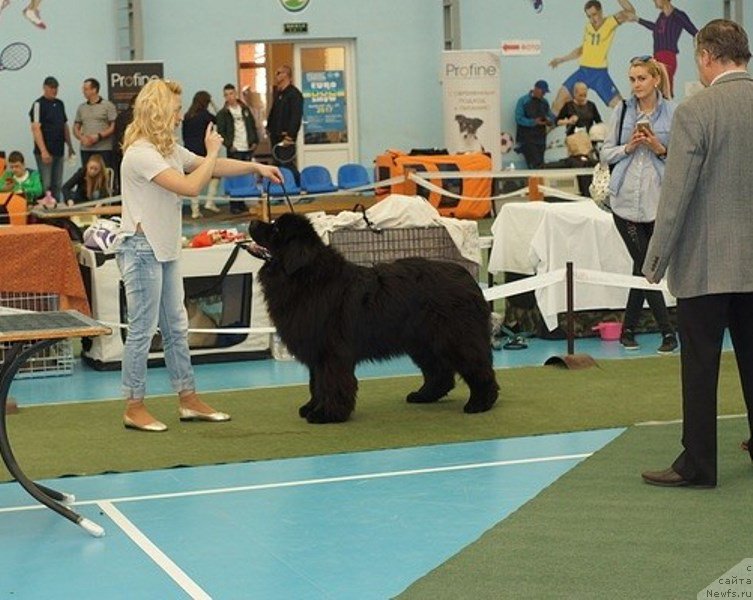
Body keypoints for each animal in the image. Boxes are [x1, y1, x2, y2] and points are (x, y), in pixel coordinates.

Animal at [248, 213, 500, 424]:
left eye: (276, 229)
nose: (252, 222)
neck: (305, 278)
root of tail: (467, 278)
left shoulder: (332, 353)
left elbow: (331, 382)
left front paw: (327, 414)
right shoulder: (317, 353)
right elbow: (316, 383)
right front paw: (312, 408)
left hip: (457, 339)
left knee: (479, 370)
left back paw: (479, 404)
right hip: (422, 342)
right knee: (441, 373)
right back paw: (423, 395)